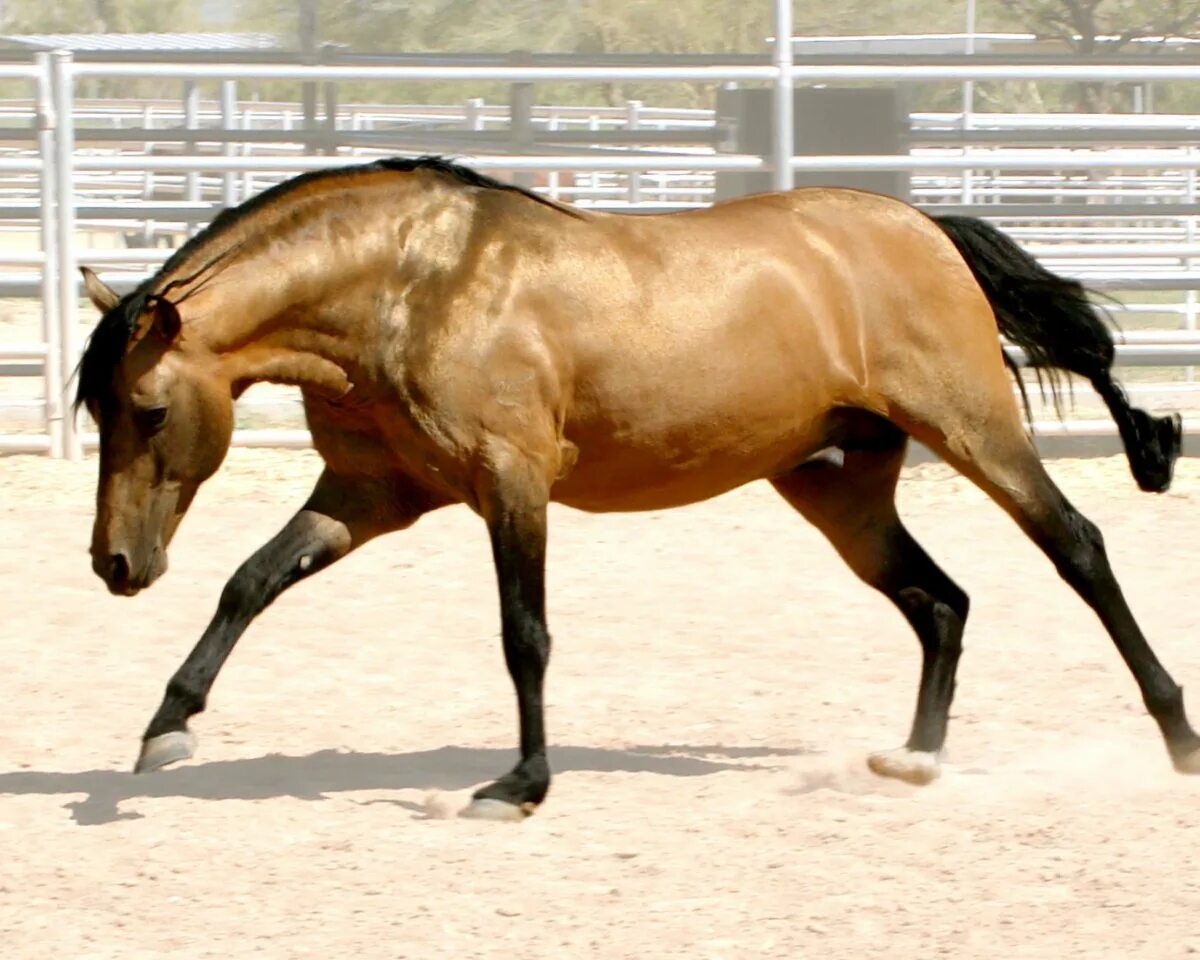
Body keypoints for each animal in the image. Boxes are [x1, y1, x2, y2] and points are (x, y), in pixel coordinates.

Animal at [75, 156, 1190, 816]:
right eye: (98, 410)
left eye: (151, 411)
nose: (116, 564)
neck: (412, 287)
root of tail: (924, 226)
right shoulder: (368, 495)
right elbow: (252, 583)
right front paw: (166, 732)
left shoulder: (511, 482)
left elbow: (524, 635)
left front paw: (519, 786)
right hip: (838, 486)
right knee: (940, 600)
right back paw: (916, 762)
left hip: (974, 430)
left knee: (1078, 549)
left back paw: (1179, 737)